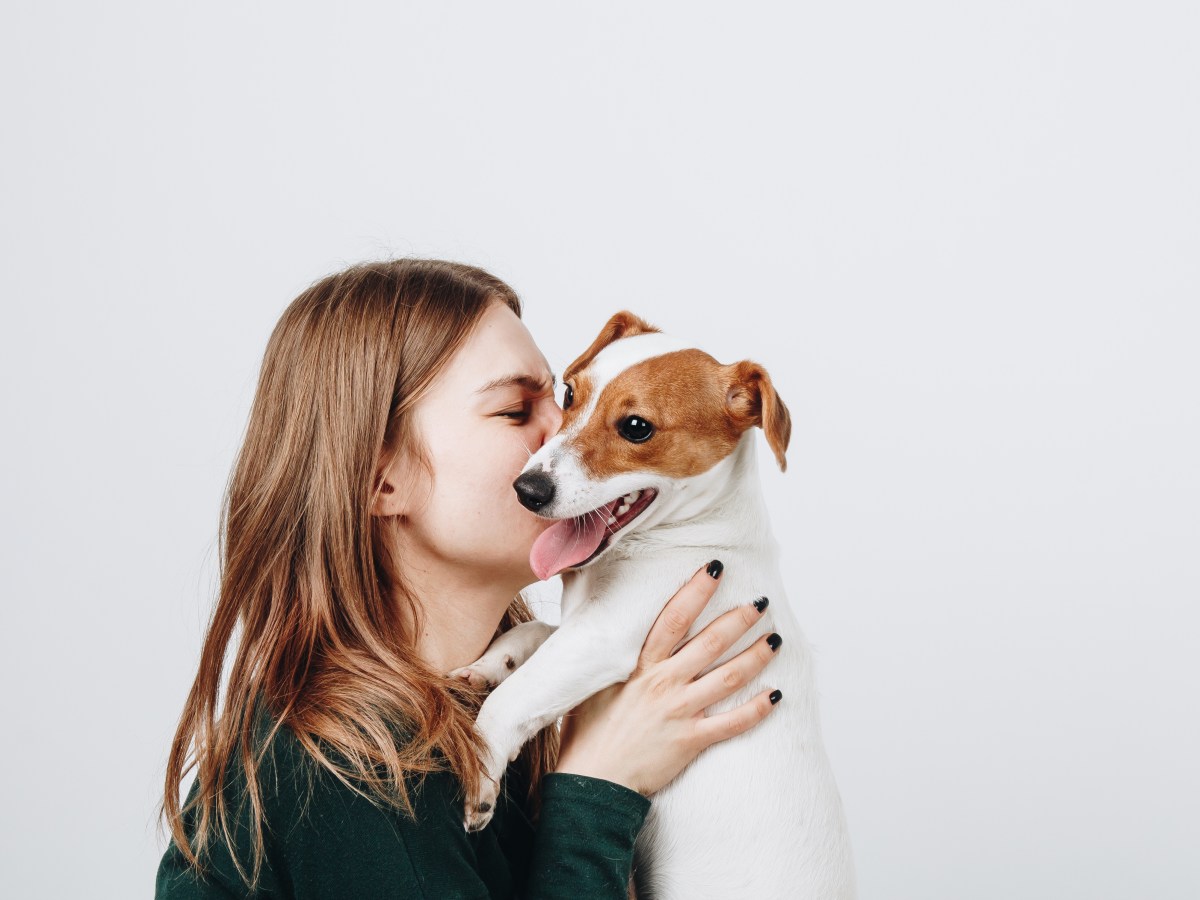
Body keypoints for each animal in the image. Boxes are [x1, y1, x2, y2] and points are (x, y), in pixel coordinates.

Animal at [451, 314, 854, 897]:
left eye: (637, 427)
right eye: (569, 394)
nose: (526, 489)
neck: (698, 536)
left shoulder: (605, 634)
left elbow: (514, 698)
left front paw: (481, 766)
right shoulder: (582, 627)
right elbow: (533, 638)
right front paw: (487, 666)